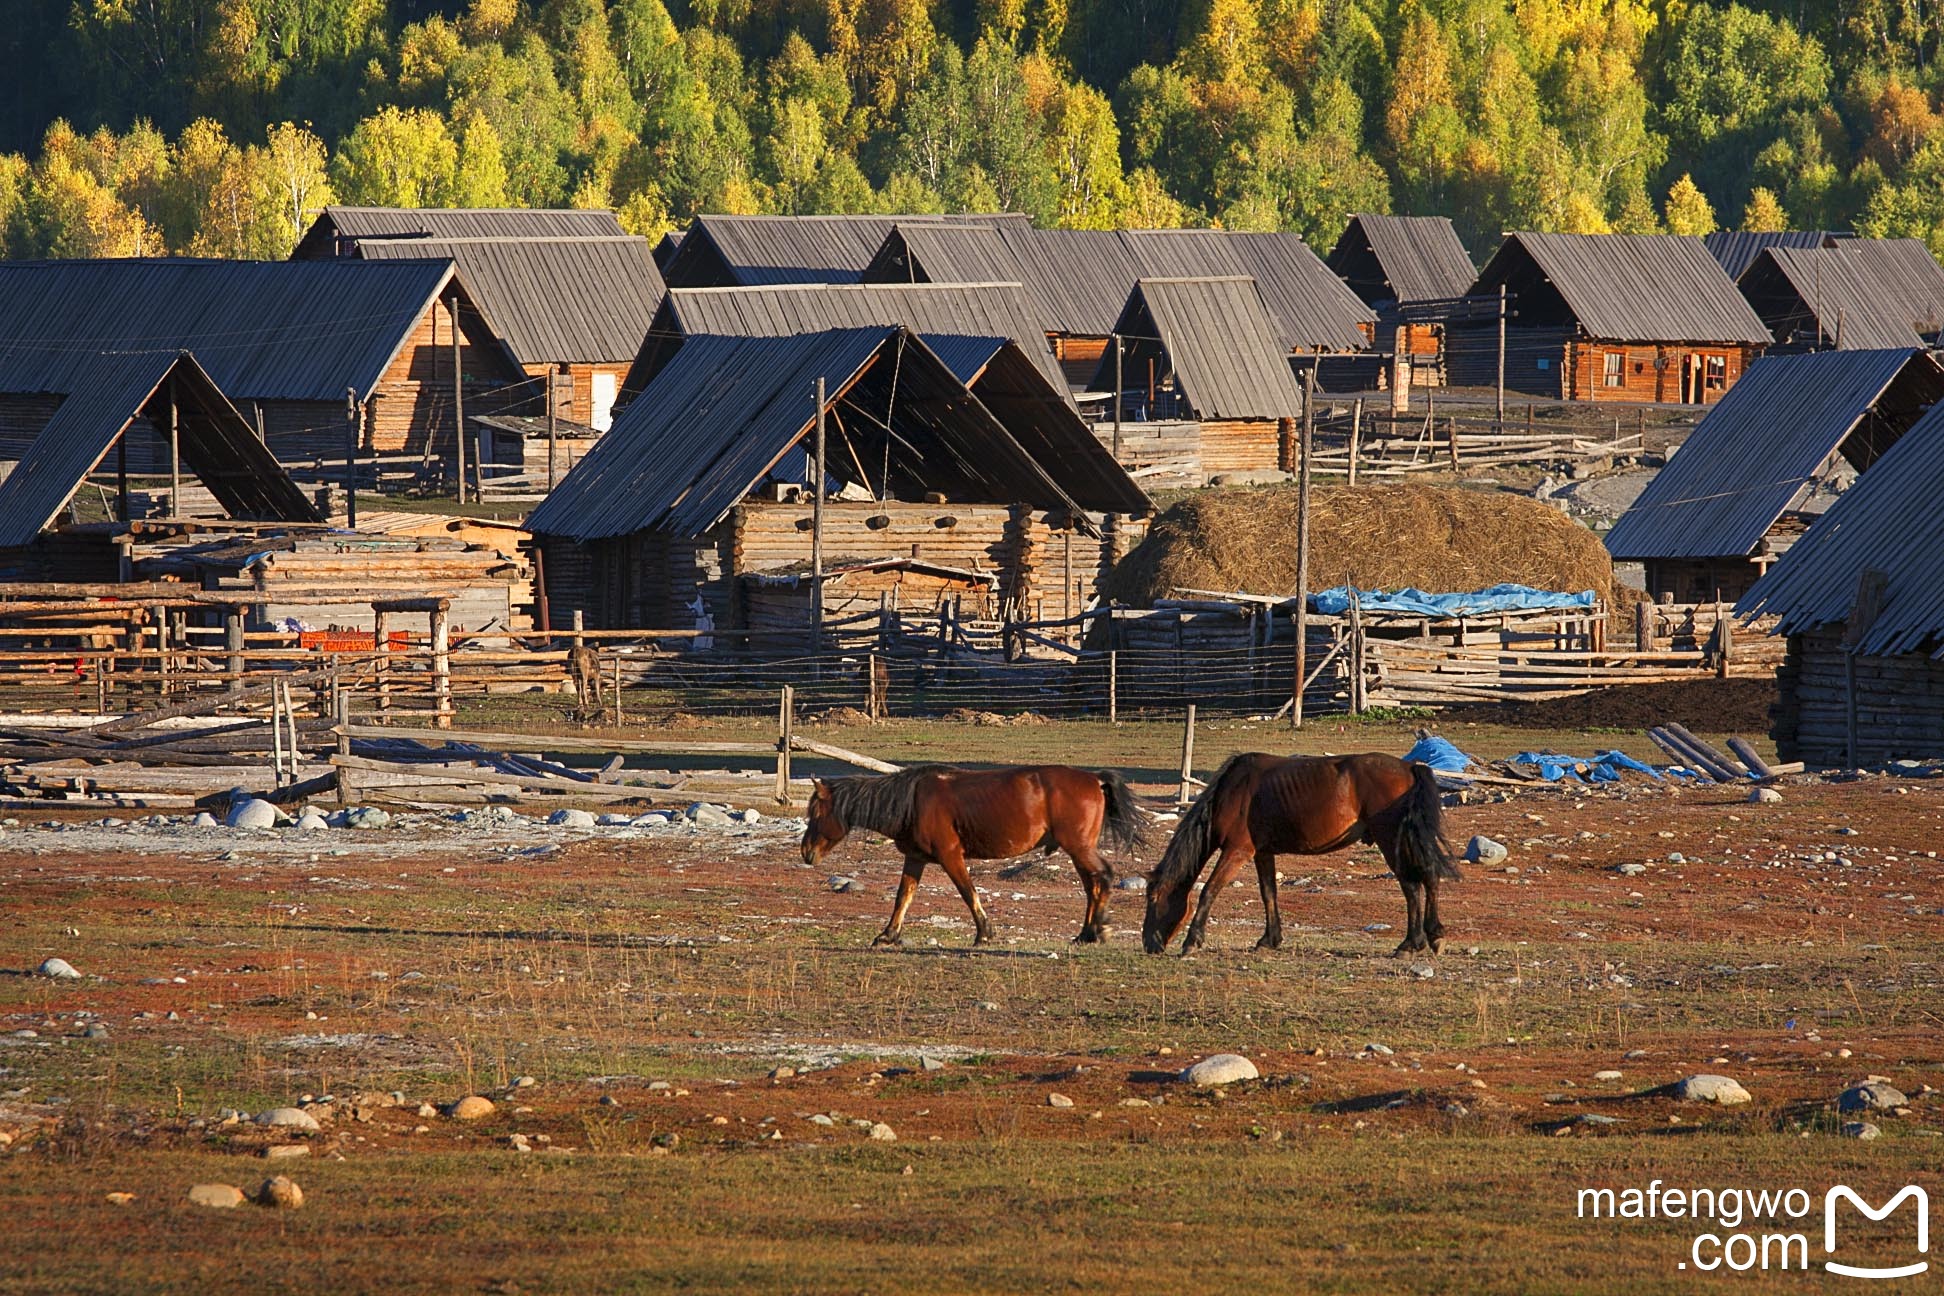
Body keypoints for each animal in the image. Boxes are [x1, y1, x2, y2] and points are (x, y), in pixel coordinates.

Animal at [797, 765, 1143, 948]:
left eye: (817, 812)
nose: (806, 852)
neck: (912, 801)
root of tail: (1094, 778)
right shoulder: (915, 859)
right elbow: (903, 897)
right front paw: (888, 934)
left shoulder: (951, 857)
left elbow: (968, 892)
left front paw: (984, 933)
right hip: (1077, 851)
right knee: (1092, 885)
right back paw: (1086, 932)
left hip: (1079, 849)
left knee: (1102, 878)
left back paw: (1098, 929)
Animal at [1135, 753, 1461, 959]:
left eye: (1153, 898)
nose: (1149, 944)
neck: (1230, 793)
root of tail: (1410, 768)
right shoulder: (1262, 853)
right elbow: (1269, 894)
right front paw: (1269, 940)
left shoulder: (1237, 851)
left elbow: (1210, 891)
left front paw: (1192, 941)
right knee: (1429, 878)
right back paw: (1432, 937)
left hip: (1391, 840)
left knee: (1412, 886)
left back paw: (1410, 944)